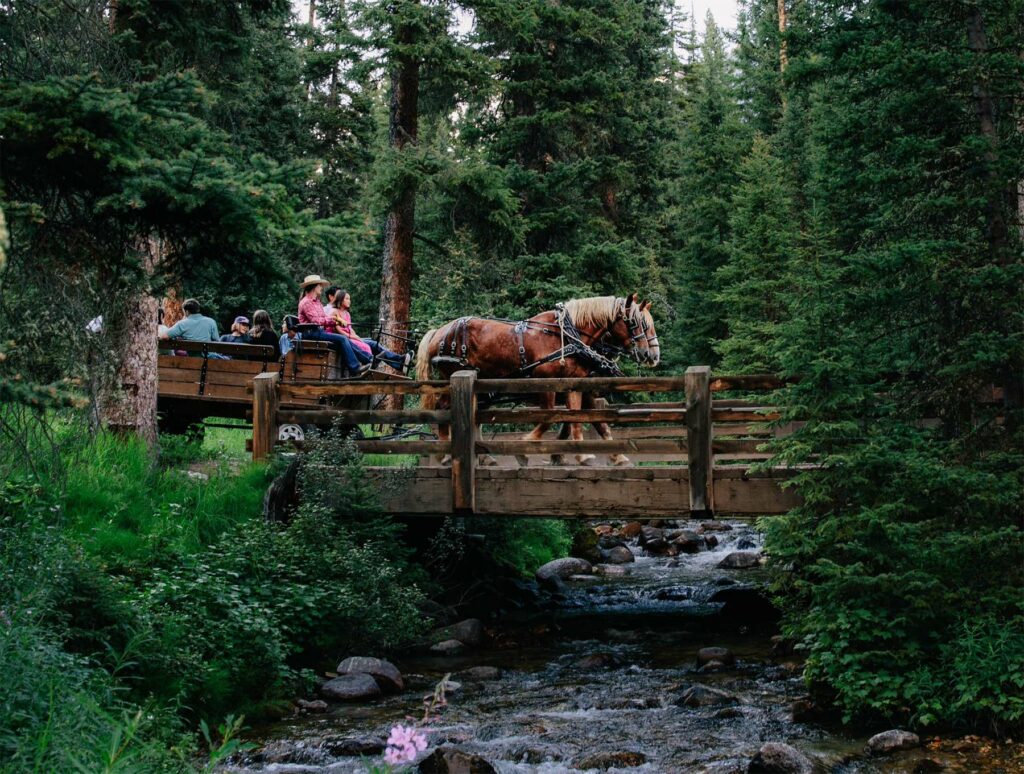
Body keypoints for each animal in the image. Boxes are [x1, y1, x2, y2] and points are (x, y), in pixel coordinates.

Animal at [417, 294, 663, 464]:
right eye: (637, 323)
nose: (651, 355)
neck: (568, 336)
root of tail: (439, 332)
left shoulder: (575, 384)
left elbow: (584, 419)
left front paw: (591, 455)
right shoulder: (547, 383)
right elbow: (549, 418)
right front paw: (527, 448)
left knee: (473, 413)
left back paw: (484, 457)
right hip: (453, 375)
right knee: (443, 407)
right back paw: (445, 453)